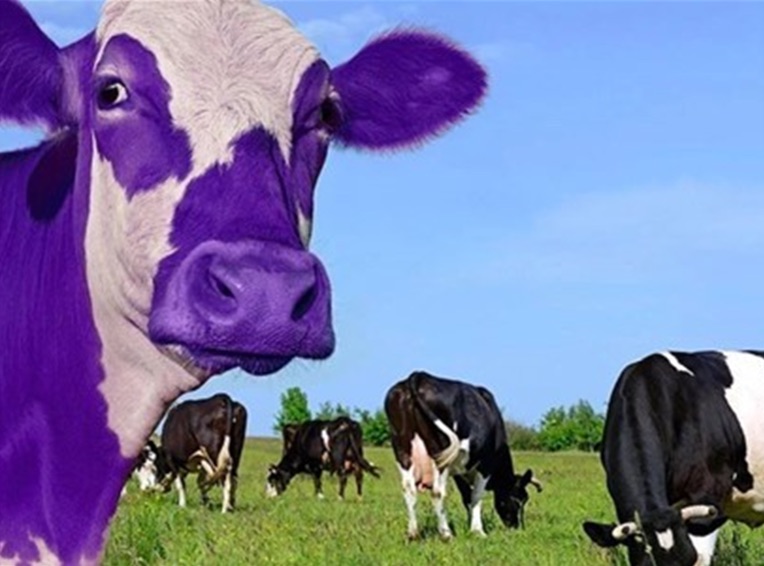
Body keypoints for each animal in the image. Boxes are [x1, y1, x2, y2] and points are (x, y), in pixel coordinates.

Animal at [384, 371, 542, 540]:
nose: (517, 527)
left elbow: (466, 497)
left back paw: (413, 534)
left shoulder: (460, 471)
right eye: (518, 499)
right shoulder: (486, 465)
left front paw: (469, 525)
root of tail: (419, 375)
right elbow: (476, 496)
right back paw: (446, 534)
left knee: (409, 489)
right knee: (437, 492)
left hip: (402, 449)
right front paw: (478, 530)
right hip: (440, 453)